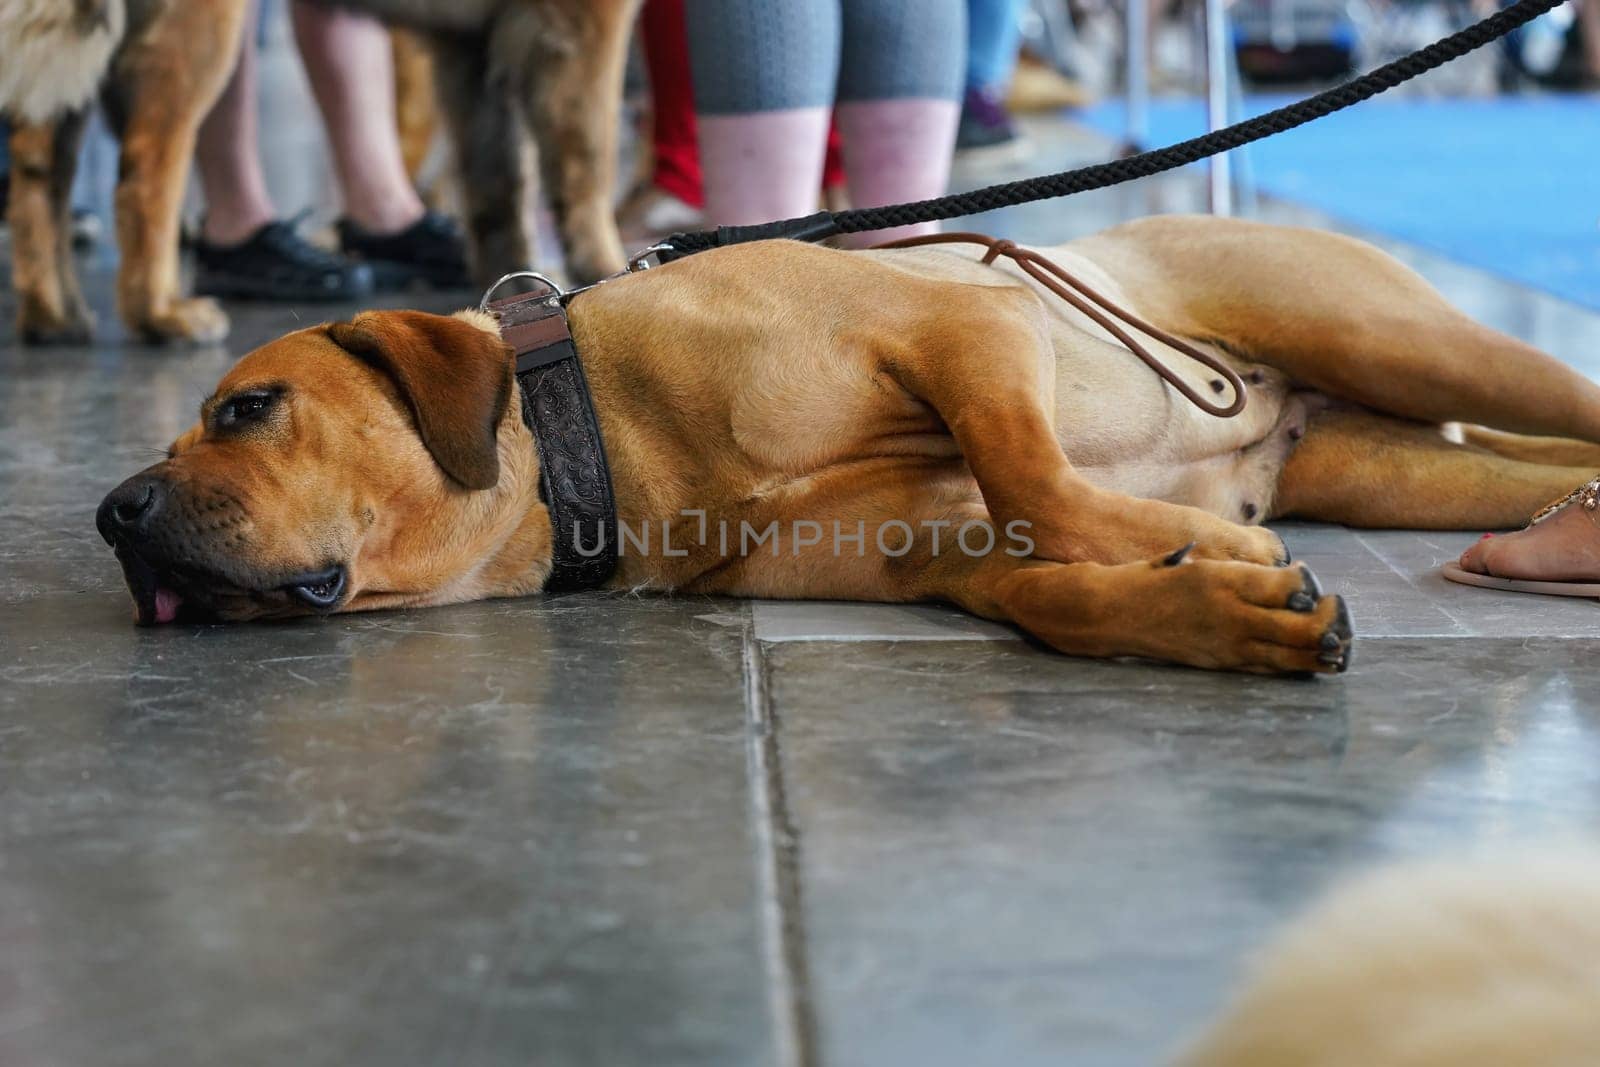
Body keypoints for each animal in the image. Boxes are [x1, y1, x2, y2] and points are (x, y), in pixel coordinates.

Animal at [1, 0, 636, 343]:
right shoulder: (582, 26)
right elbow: (589, 160)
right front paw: (607, 268)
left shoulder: (469, 48)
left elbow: (498, 185)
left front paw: (516, 285)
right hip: (199, 34)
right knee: (145, 172)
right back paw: (160, 315)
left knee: (39, 170)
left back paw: (53, 314)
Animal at [93, 212, 1600, 671]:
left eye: (243, 408)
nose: (112, 515)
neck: (610, 442)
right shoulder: (947, 553)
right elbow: (1049, 585)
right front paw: (1212, 606)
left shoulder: (972, 328)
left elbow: (1039, 476)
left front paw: (1201, 544)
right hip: (1405, 466)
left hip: (1405, 338)